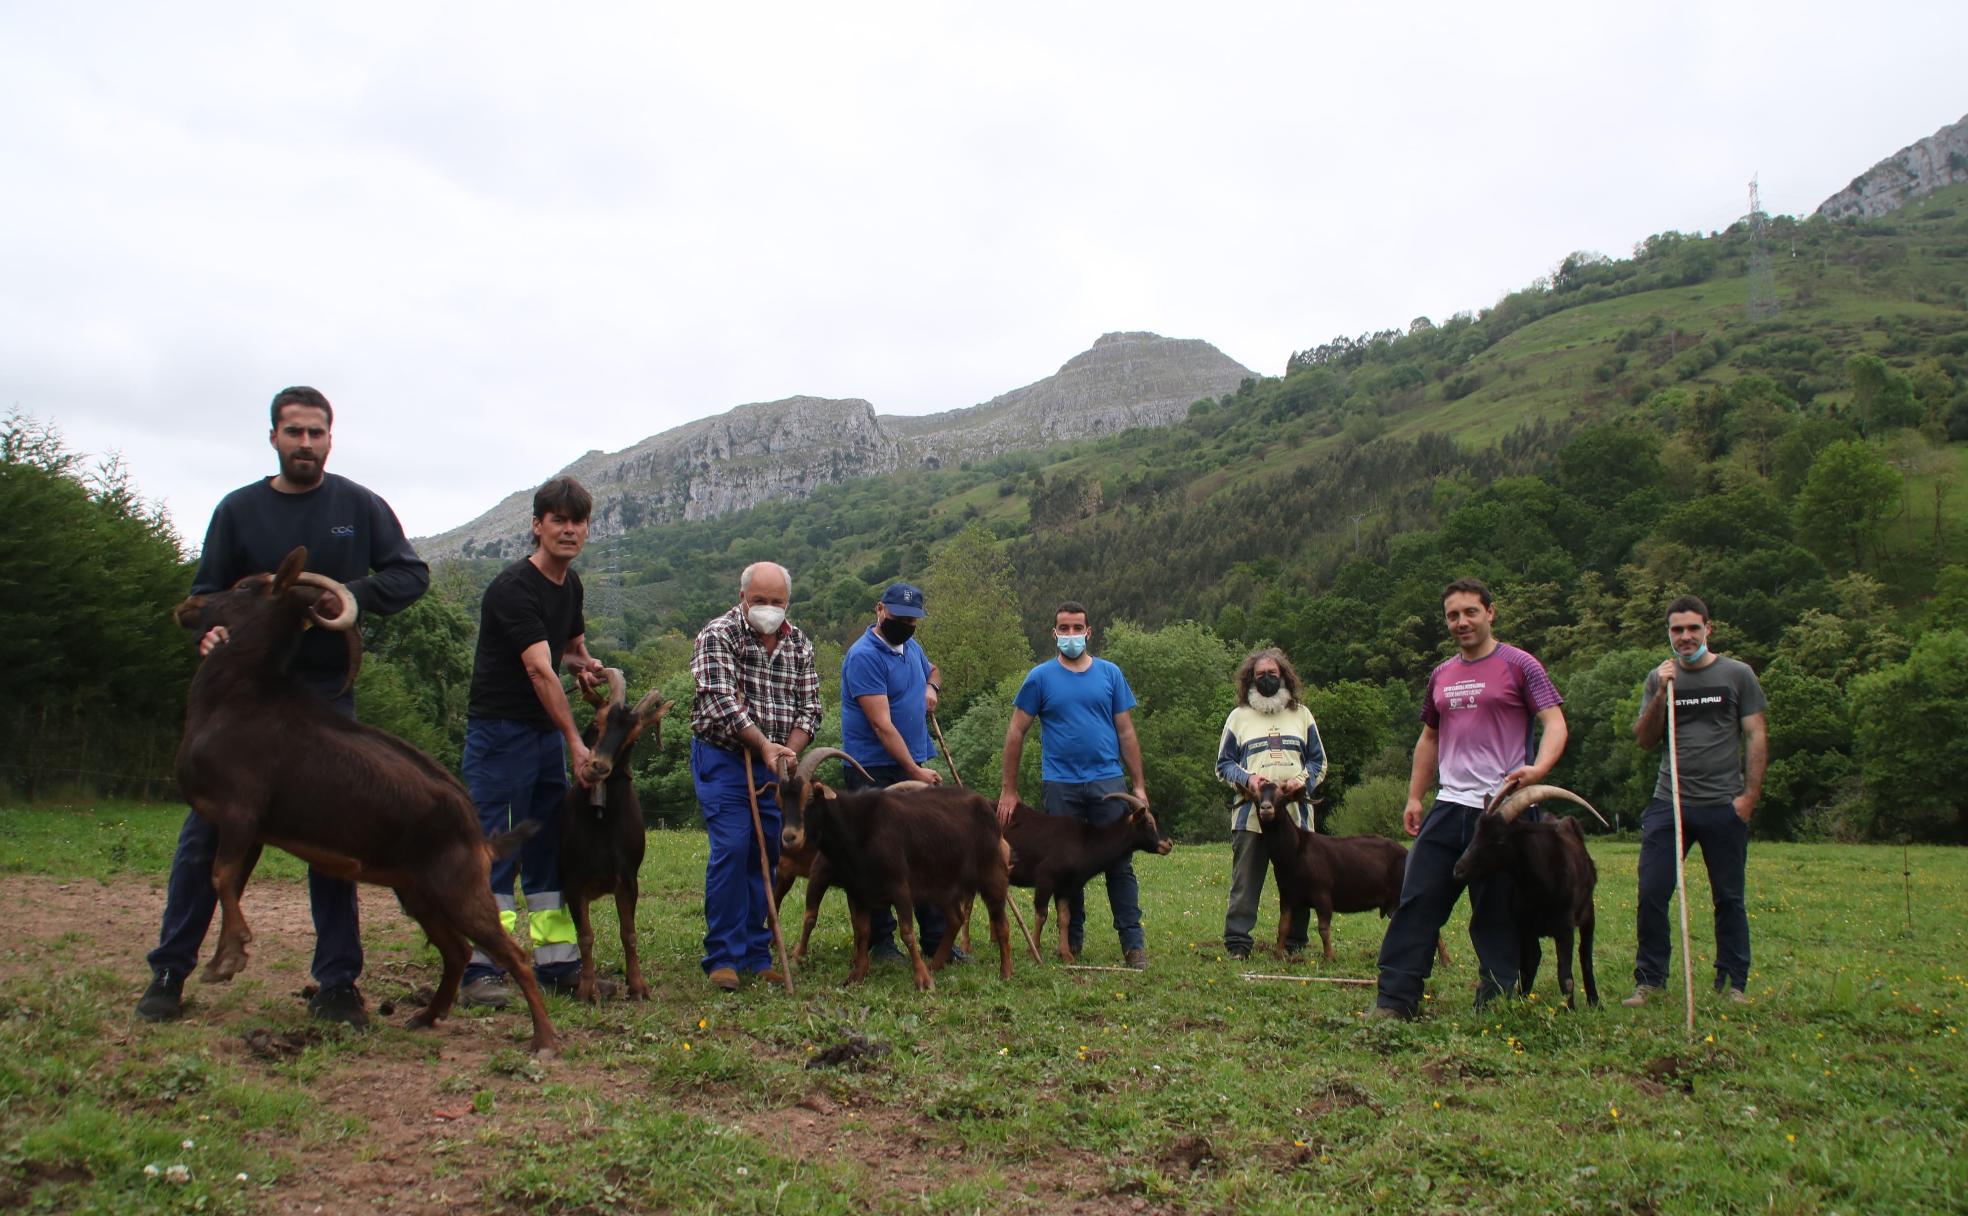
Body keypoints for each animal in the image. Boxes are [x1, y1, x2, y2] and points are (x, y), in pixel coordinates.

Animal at [558, 668, 673, 999]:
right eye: (598, 720)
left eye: (632, 738)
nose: (597, 767)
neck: (602, 823)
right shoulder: (573, 880)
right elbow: (585, 935)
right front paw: (587, 989)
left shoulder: (628, 878)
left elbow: (629, 933)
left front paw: (638, 986)